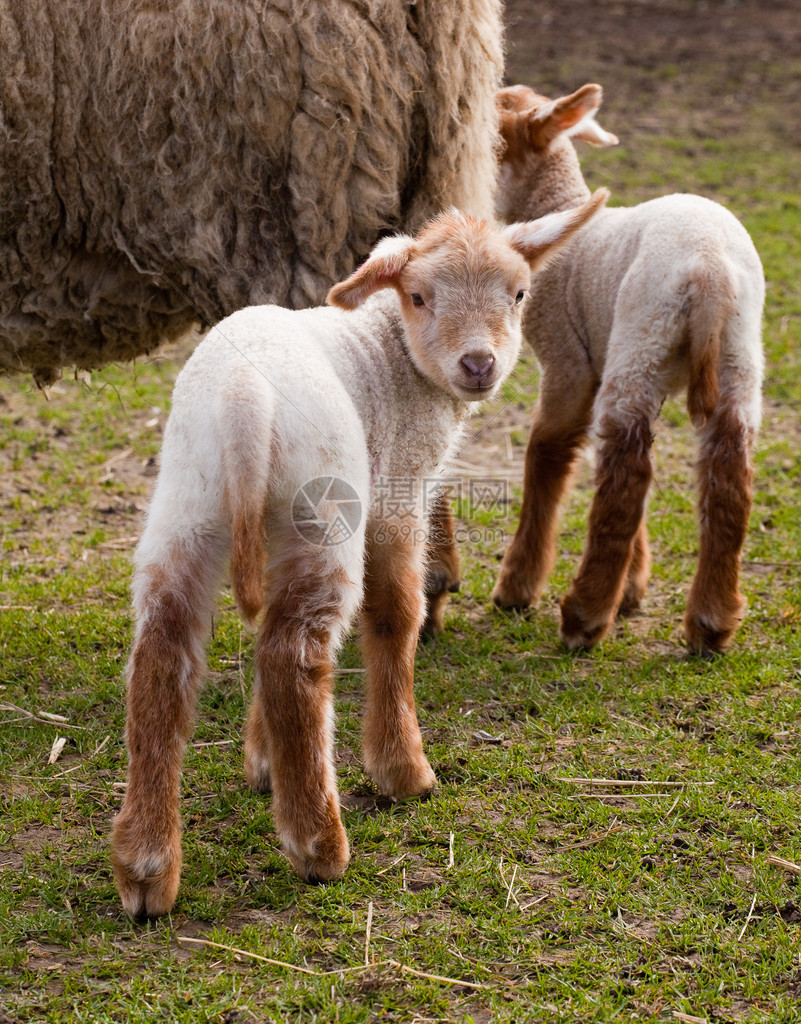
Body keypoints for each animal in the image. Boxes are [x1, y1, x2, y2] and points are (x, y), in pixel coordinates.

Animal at [109, 193, 606, 921]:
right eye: (421, 296)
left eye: (517, 293)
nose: (478, 365)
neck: (393, 350)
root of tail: (244, 398)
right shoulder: (400, 491)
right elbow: (398, 614)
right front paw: (401, 770)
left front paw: (261, 761)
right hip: (324, 507)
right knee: (292, 656)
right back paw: (320, 844)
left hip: (187, 502)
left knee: (164, 656)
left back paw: (146, 869)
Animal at [489, 81, 766, 655]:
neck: (561, 212)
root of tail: (709, 271)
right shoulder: (599, 355)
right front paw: (634, 588)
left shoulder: (569, 360)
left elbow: (546, 453)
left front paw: (517, 588)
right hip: (736, 352)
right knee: (726, 470)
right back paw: (711, 622)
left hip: (643, 332)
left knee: (627, 470)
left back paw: (584, 616)